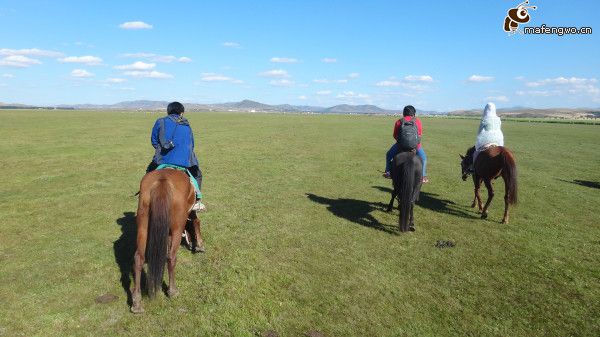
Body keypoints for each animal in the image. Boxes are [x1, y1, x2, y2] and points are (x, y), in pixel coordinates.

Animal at [130, 169, 205, 314]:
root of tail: (162, 180)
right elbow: (196, 221)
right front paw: (199, 245)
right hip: (177, 226)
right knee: (171, 257)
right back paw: (173, 291)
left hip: (143, 224)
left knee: (138, 258)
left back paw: (137, 302)